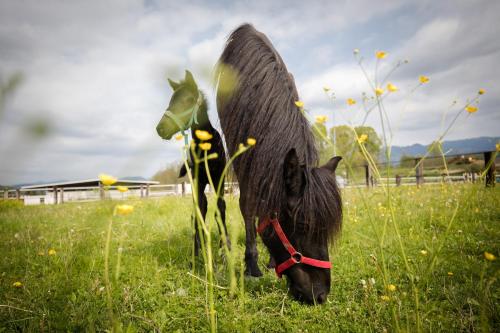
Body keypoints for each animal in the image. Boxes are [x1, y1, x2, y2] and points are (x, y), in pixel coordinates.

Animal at [156, 70, 229, 255]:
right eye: (170, 101)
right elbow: (199, 212)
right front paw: (197, 252)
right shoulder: (199, 181)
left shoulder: (218, 180)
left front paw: (224, 249)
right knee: (199, 209)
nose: (160, 129)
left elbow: (220, 209)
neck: (207, 147)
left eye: (188, 100)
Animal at [217, 23, 342, 304]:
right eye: (303, 225)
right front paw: (252, 266)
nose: (320, 295)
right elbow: (248, 206)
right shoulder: (241, 154)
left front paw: (271, 260)